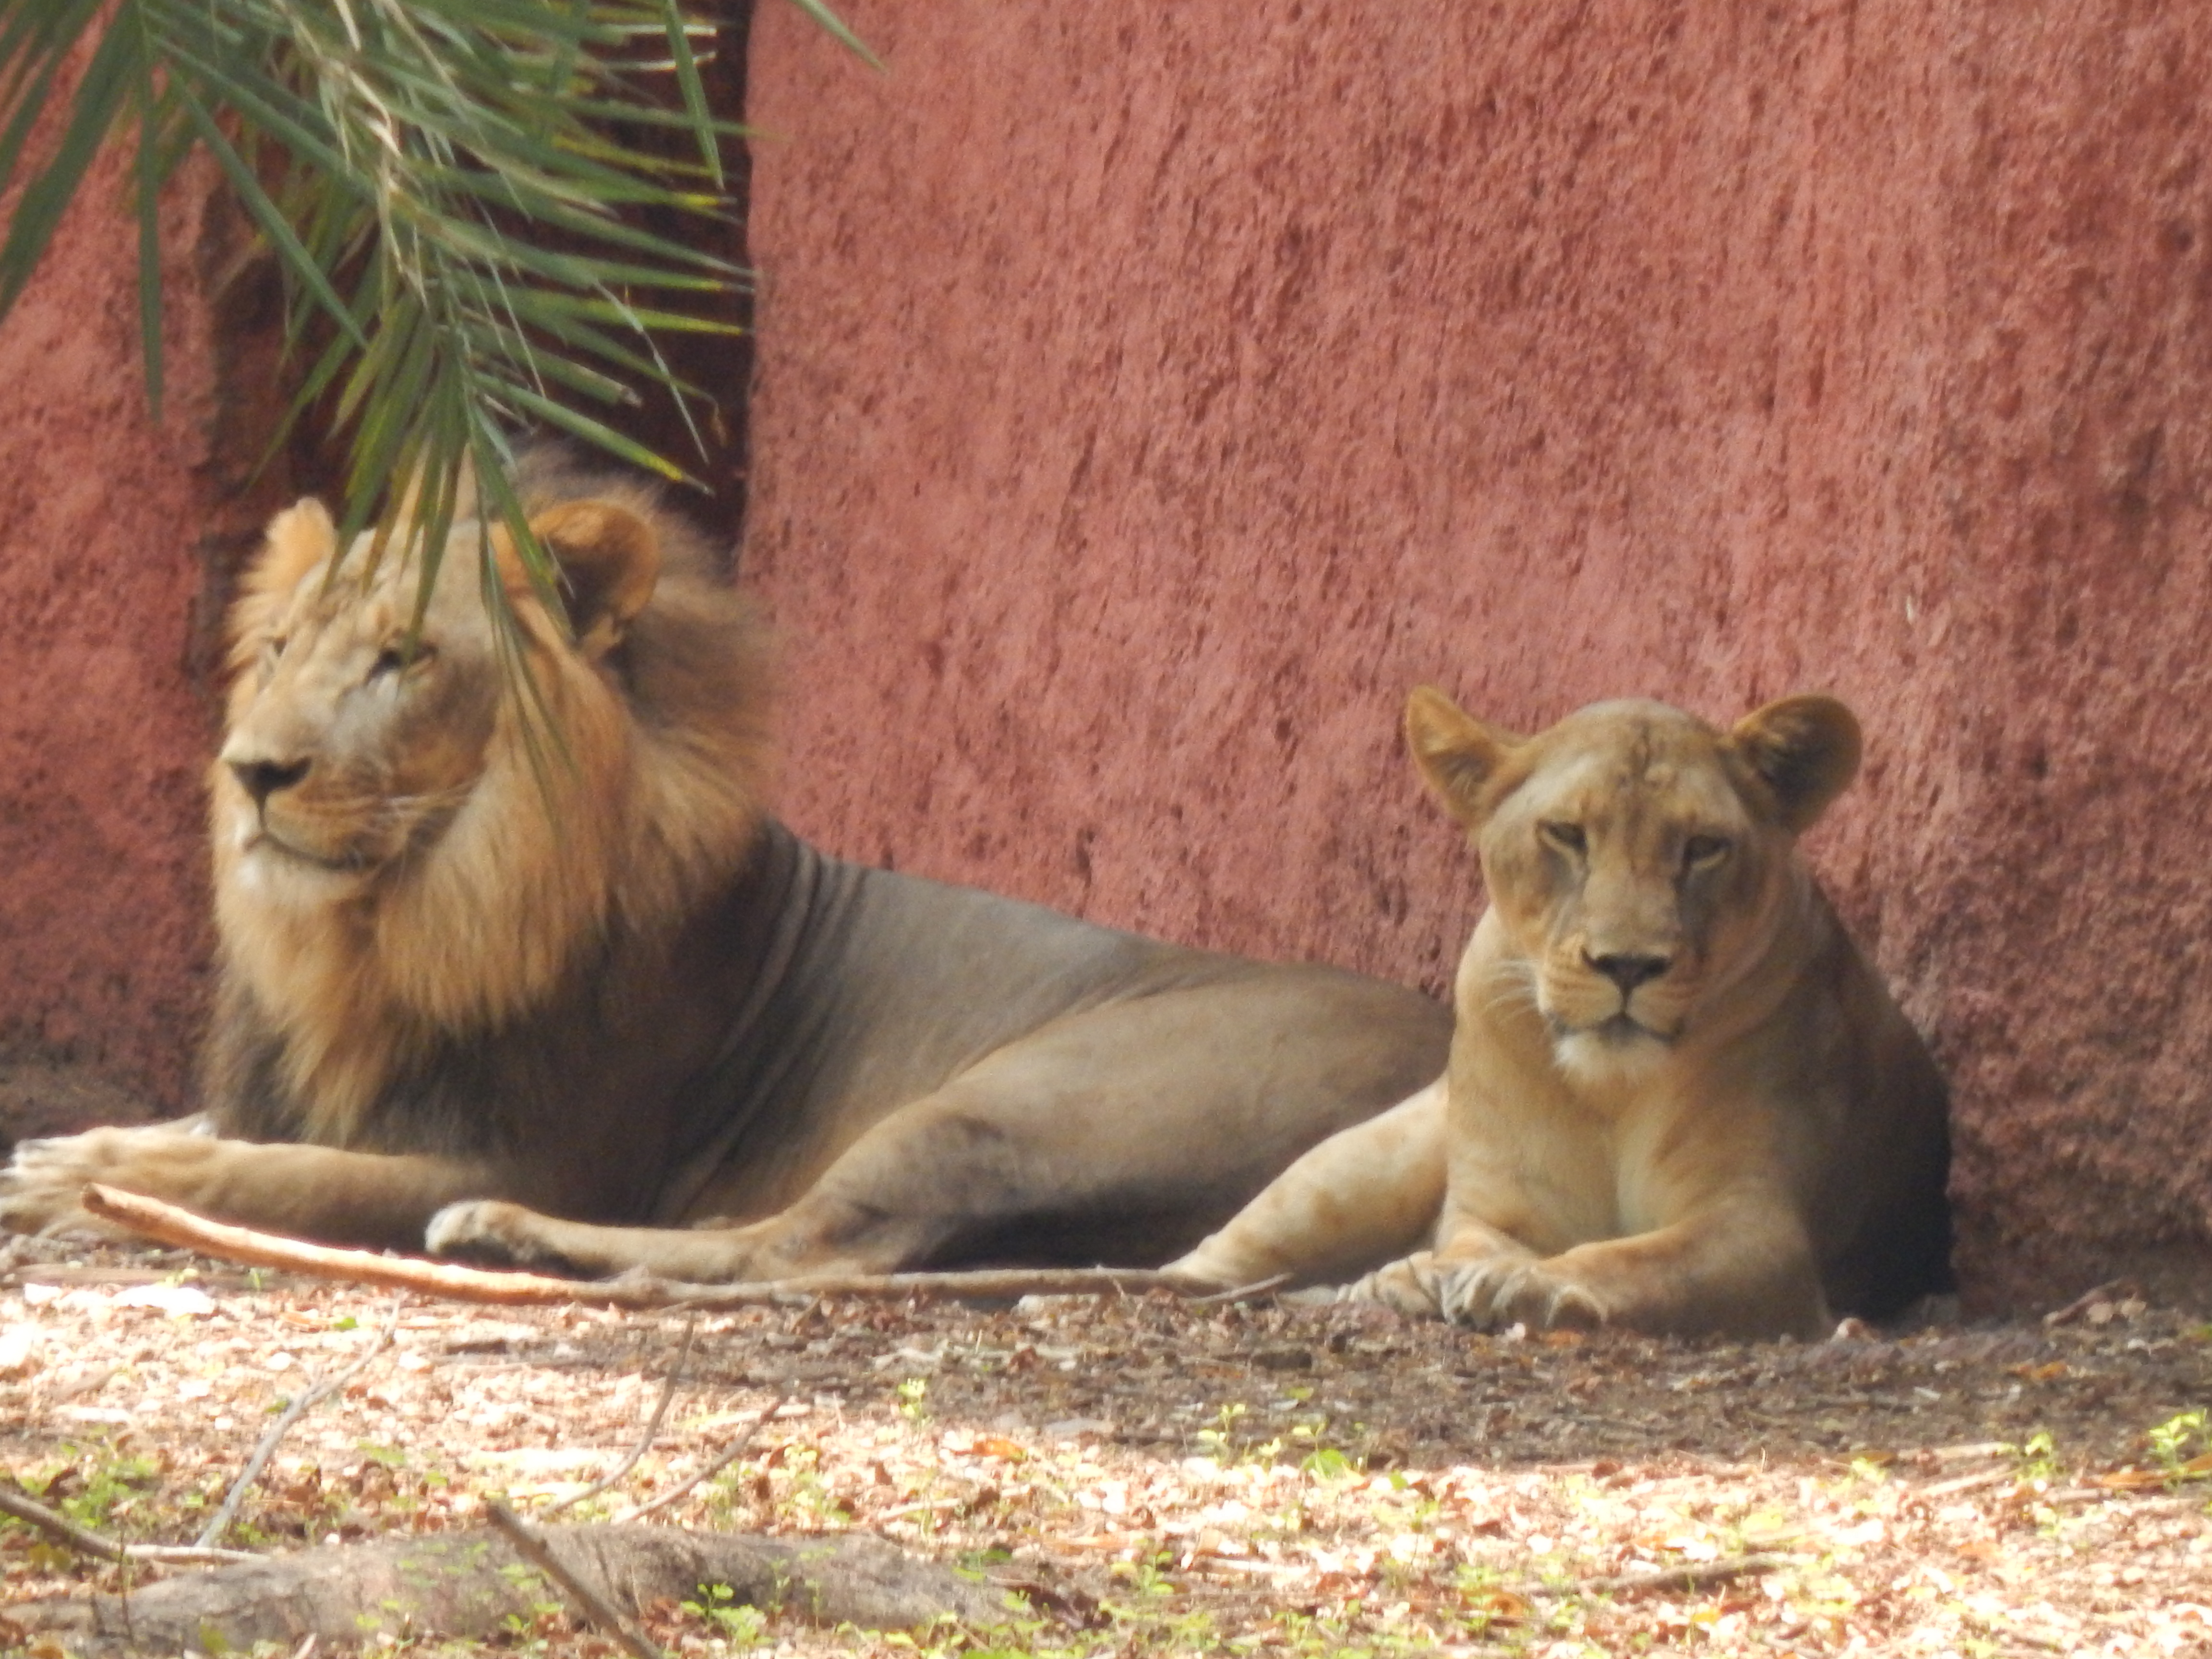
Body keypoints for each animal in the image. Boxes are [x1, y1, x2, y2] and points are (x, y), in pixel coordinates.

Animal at [0, 451, 1450, 1277]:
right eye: (282, 645)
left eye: (402, 659)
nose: (252, 770)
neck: (385, 929)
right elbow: (217, 1128)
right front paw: (69, 1147)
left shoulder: (547, 1148)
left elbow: (280, 1172)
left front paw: (79, 1185)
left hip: (1018, 1094)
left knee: (810, 1252)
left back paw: (517, 1239)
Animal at [1164, 689, 1952, 1338]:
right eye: (1567, 835)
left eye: (1704, 847)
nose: (1627, 965)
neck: (1612, 1088)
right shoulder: (1497, 1204)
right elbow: (1472, 1238)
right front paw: (1425, 1276)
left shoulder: (1758, 1225)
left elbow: (1631, 1259)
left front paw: (1520, 1285)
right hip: (1363, 1163)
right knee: (1203, 1261)